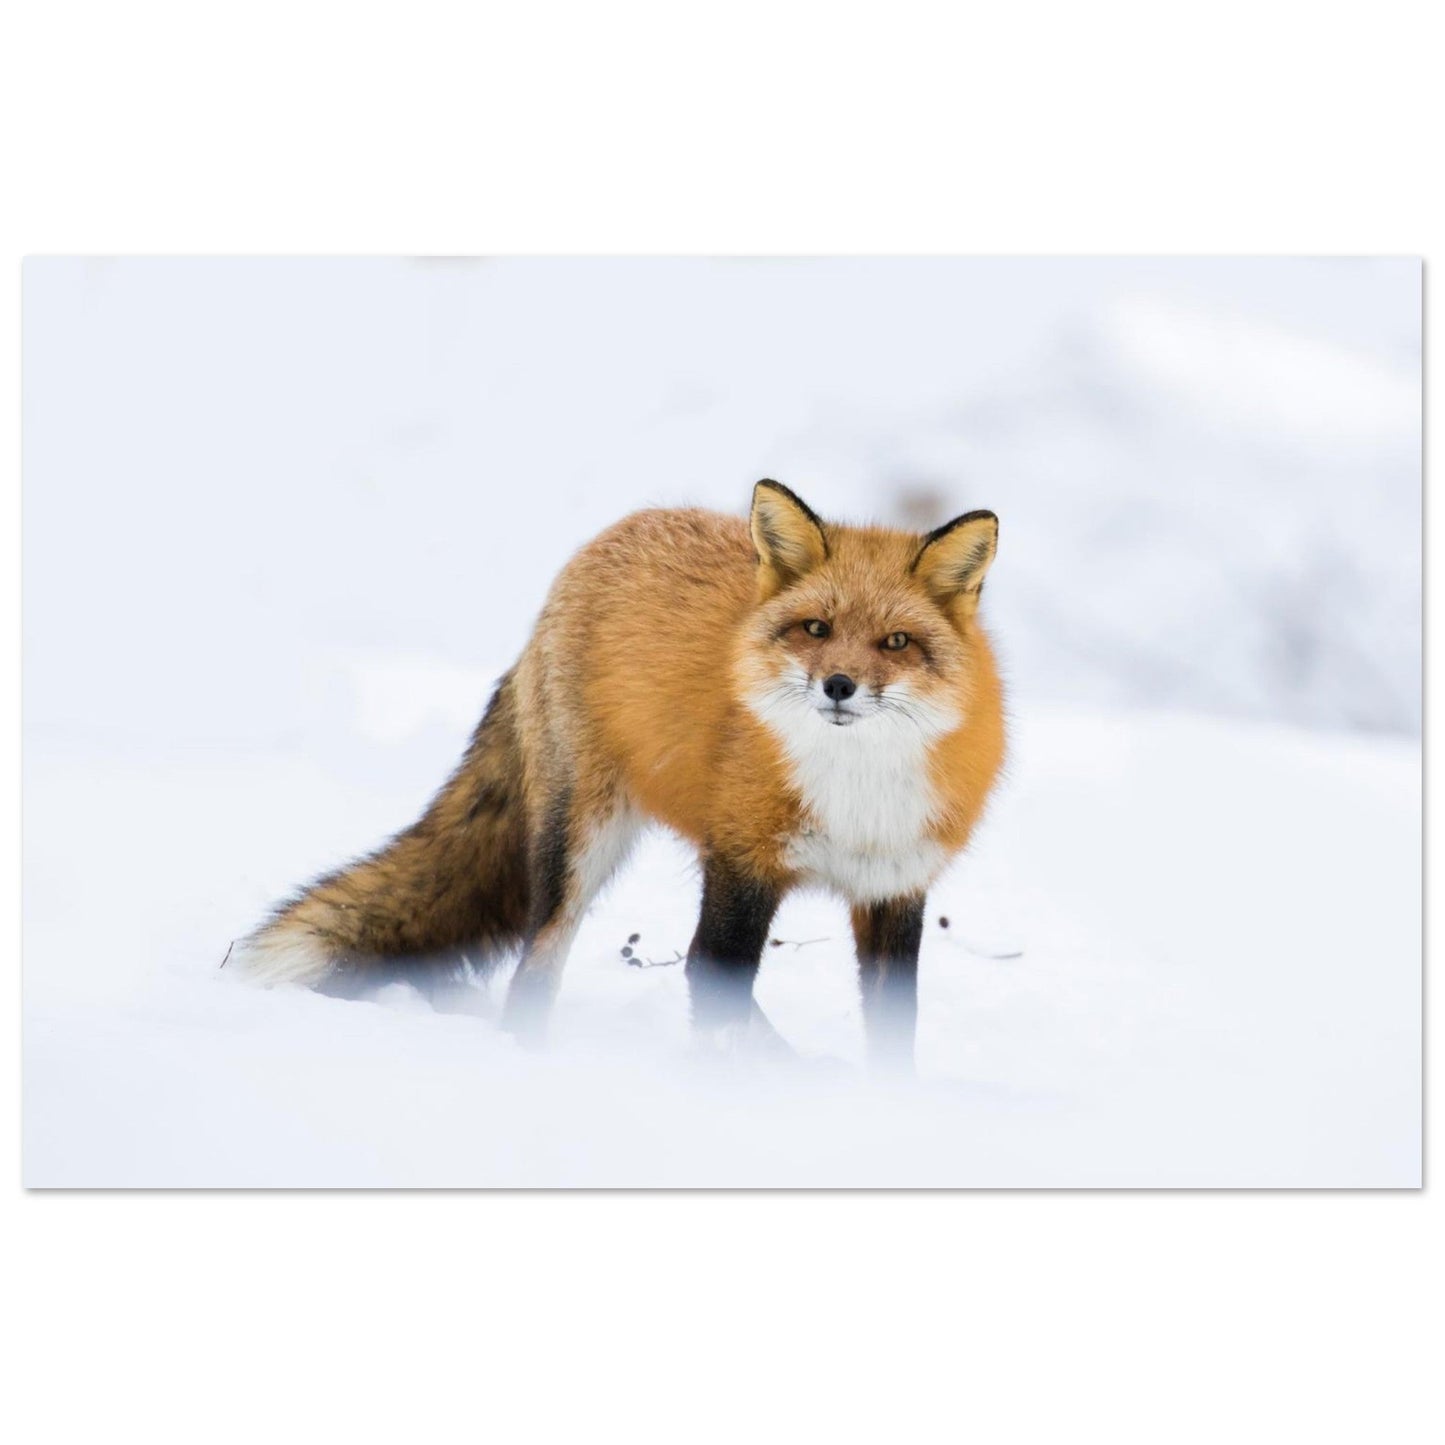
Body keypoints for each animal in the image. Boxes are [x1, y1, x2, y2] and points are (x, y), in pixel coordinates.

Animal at [233, 480, 1005, 1064]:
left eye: (896, 642)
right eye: (816, 628)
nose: (839, 685)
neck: (855, 795)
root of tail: (608, 536)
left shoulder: (894, 886)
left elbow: (892, 1034)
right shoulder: (740, 864)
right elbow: (712, 981)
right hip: (579, 845)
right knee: (537, 967)